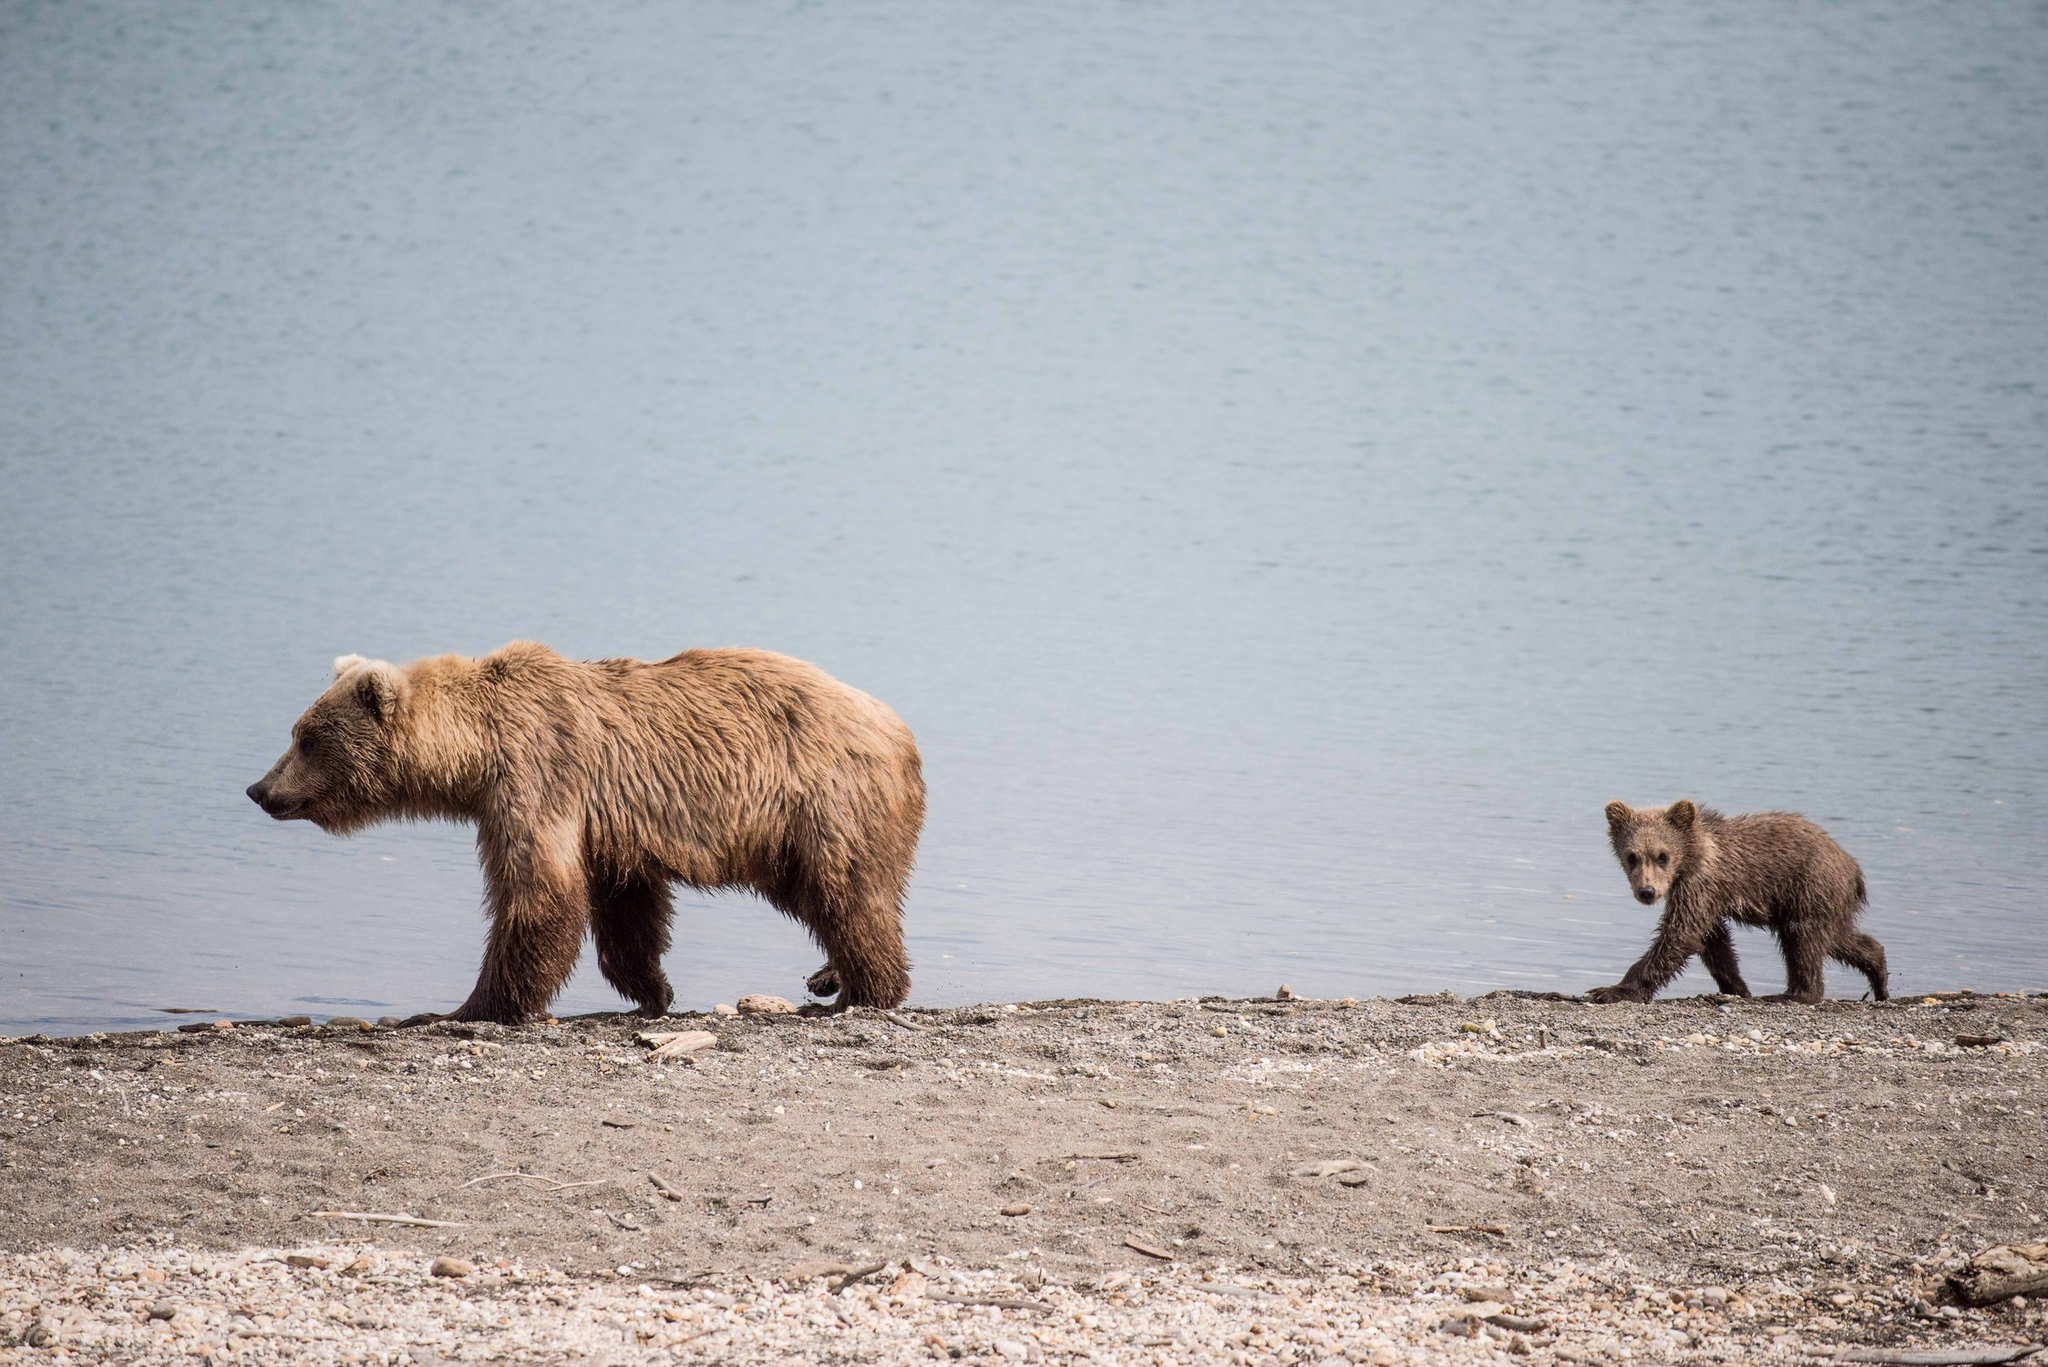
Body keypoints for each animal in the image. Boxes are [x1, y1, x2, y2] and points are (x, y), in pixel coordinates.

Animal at [249, 647, 929, 1020]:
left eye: (307, 739)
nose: (259, 789)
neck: (474, 751)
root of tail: (900, 728)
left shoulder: (537, 774)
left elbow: (539, 892)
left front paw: (465, 1008)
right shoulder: (610, 826)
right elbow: (625, 906)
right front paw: (654, 988)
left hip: (824, 800)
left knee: (846, 892)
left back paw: (863, 990)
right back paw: (830, 977)